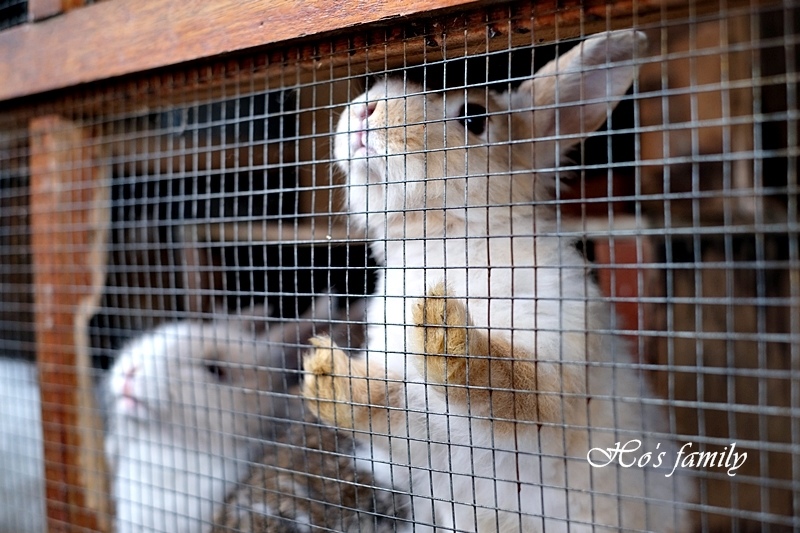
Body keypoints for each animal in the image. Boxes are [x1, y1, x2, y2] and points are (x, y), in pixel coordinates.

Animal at [300, 30, 692, 532]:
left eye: (474, 117)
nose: (365, 110)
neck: (439, 233)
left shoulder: (556, 363)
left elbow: (509, 385)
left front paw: (441, 328)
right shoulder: (419, 427)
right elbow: (383, 407)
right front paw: (325, 377)